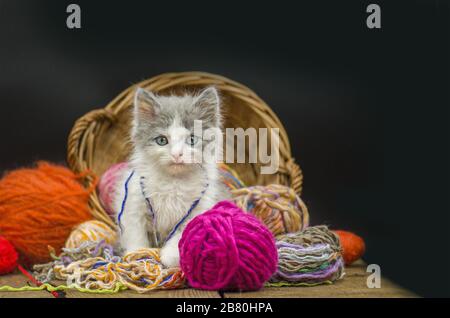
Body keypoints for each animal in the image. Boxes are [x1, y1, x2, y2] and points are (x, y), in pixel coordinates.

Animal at [112, 85, 229, 268]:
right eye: (162, 140)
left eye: (192, 140)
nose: (177, 154)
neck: (172, 182)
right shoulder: (132, 200)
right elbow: (135, 233)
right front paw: (137, 254)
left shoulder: (200, 207)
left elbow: (182, 234)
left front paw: (169, 256)